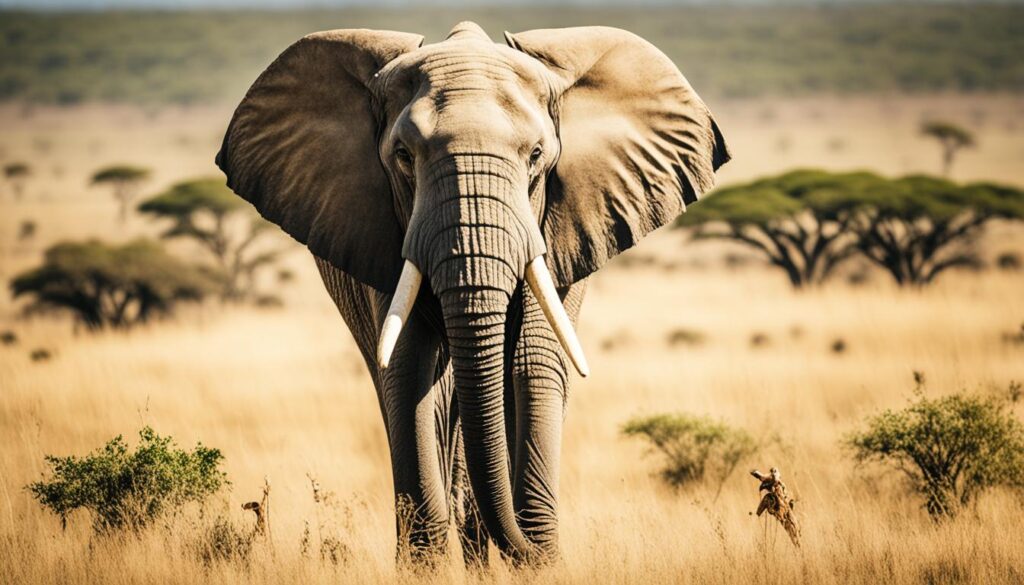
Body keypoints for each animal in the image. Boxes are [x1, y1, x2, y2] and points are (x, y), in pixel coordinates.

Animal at [216, 21, 729, 566]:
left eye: (536, 156)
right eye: (403, 157)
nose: (527, 548)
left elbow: (532, 362)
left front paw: (538, 557)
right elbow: (409, 368)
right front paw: (426, 565)